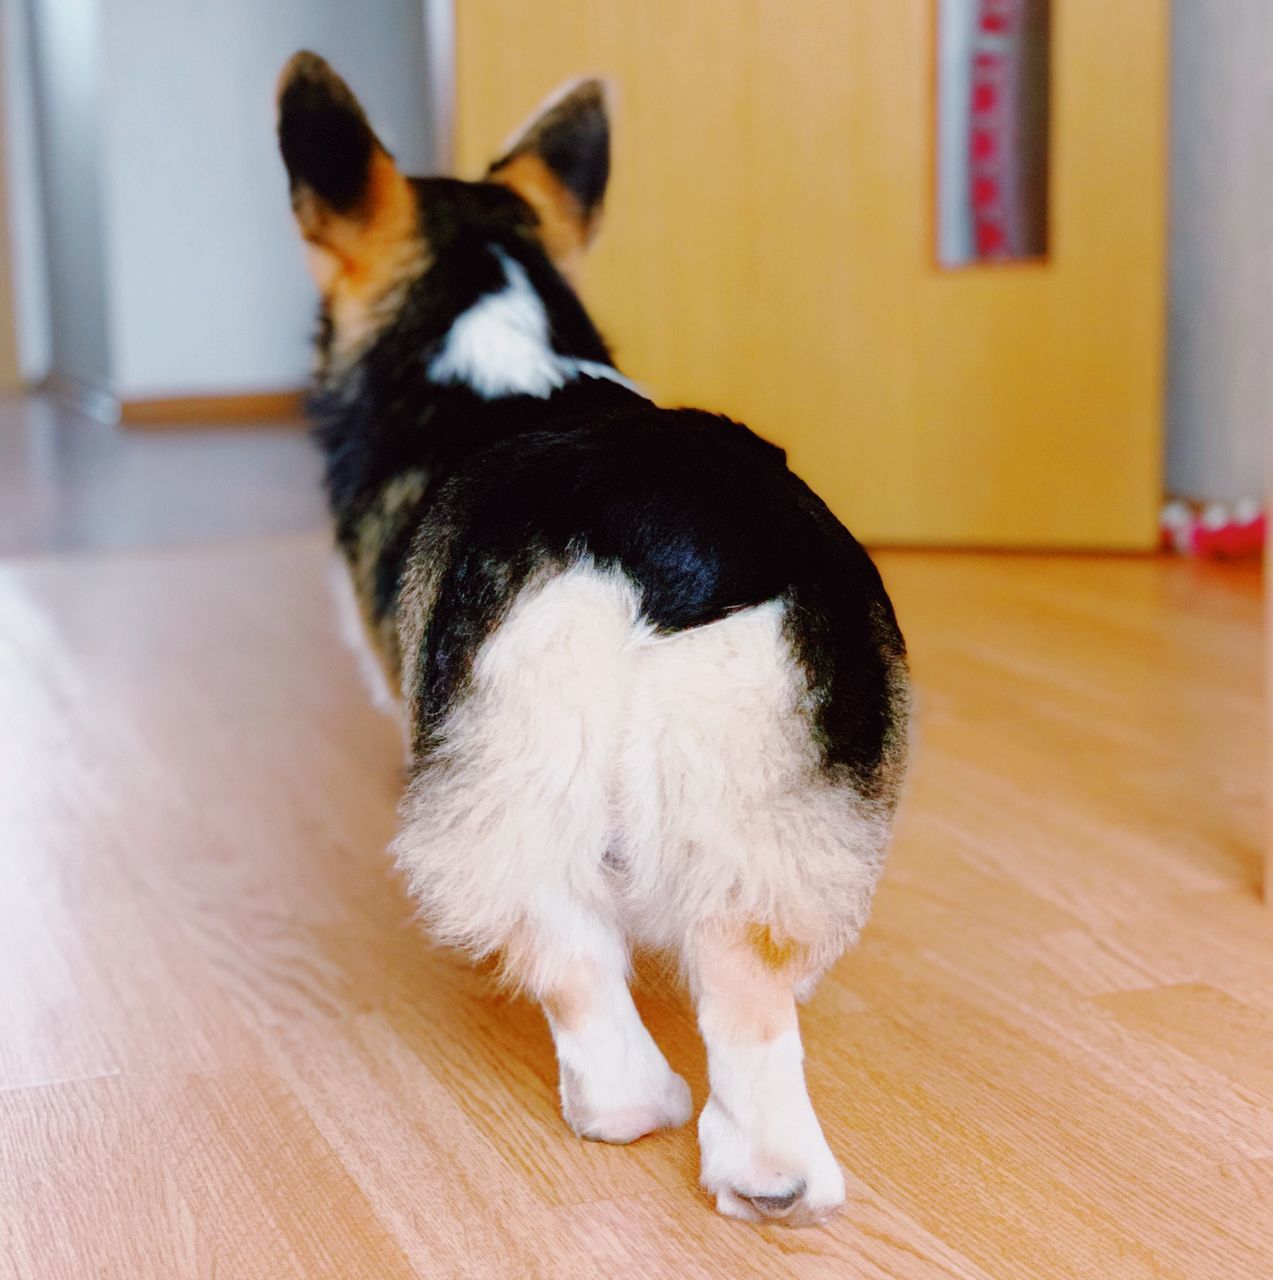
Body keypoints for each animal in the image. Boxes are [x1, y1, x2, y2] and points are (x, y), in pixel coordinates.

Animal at [275, 52, 910, 1228]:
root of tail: (672, 536)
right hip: (785, 795)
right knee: (749, 986)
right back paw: (769, 1176)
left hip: (515, 770)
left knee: (569, 955)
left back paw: (621, 1103)